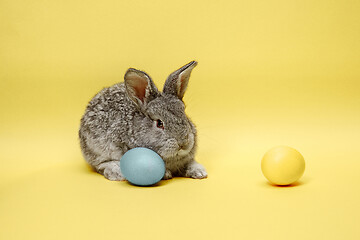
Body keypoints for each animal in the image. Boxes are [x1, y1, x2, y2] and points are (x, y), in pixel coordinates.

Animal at [79, 61, 208, 181]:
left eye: (184, 115)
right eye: (159, 123)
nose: (183, 143)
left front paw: (200, 172)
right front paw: (166, 174)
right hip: (97, 148)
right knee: (100, 165)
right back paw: (116, 172)